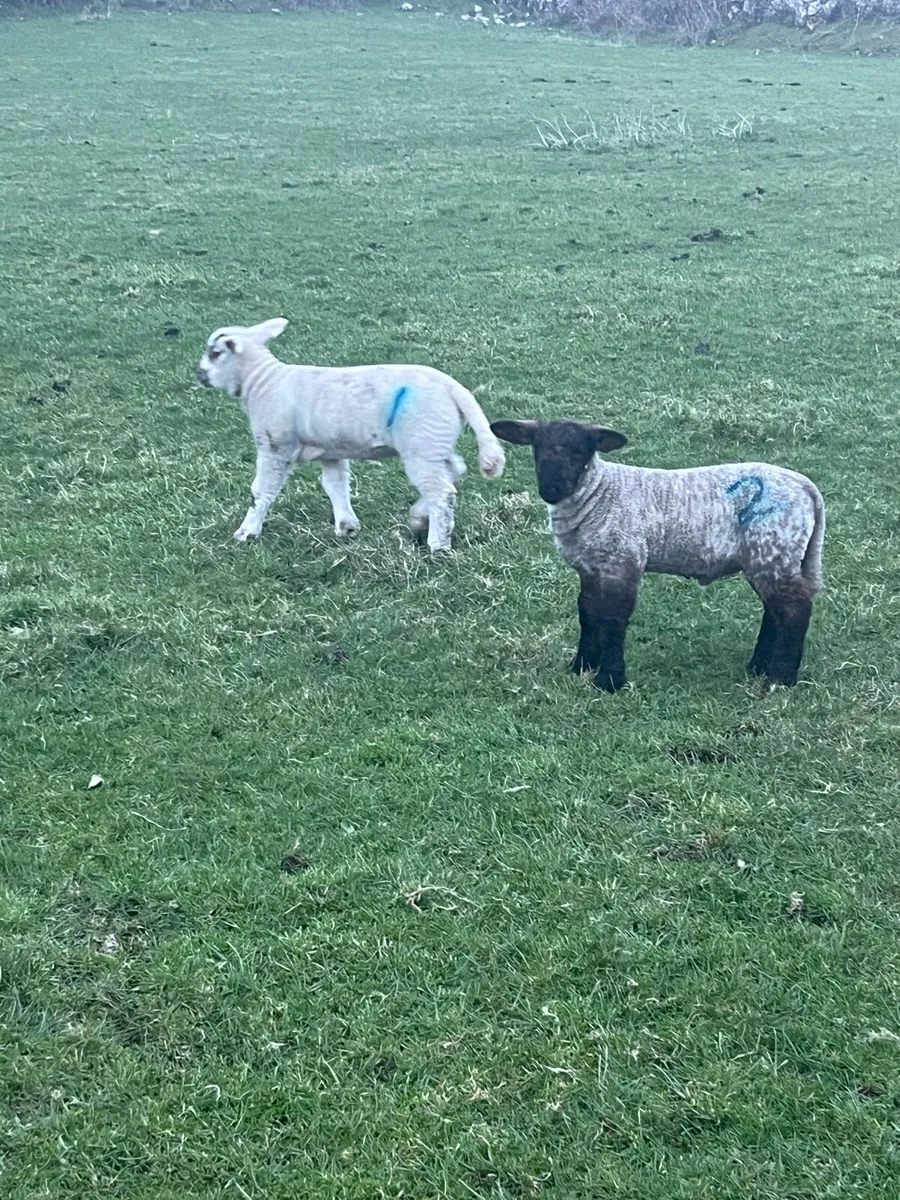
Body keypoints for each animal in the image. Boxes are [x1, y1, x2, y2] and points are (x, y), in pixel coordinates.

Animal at [195, 318, 505, 552]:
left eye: (215, 352)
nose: (199, 375)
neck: (261, 380)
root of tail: (455, 388)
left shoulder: (275, 445)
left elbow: (261, 490)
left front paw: (246, 532)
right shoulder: (331, 450)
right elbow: (335, 485)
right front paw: (347, 527)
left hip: (422, 445)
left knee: (442, 492)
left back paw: (438, 544)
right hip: (434, 442)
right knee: (454, 471)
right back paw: (420, 517)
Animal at [490, 418, 825, 692]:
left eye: (580, 451)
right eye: (538, 448)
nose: (551, 488)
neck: (598, 493)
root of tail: (806, 487)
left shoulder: (623, 562)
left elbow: (613, 619)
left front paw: (609, 680)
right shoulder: (591, 568)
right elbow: (587, 613)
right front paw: (581, 667)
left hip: (774, 547)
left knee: (794, 609)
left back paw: (780, 678)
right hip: (768, 556)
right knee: (776, 609)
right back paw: (758, 668)